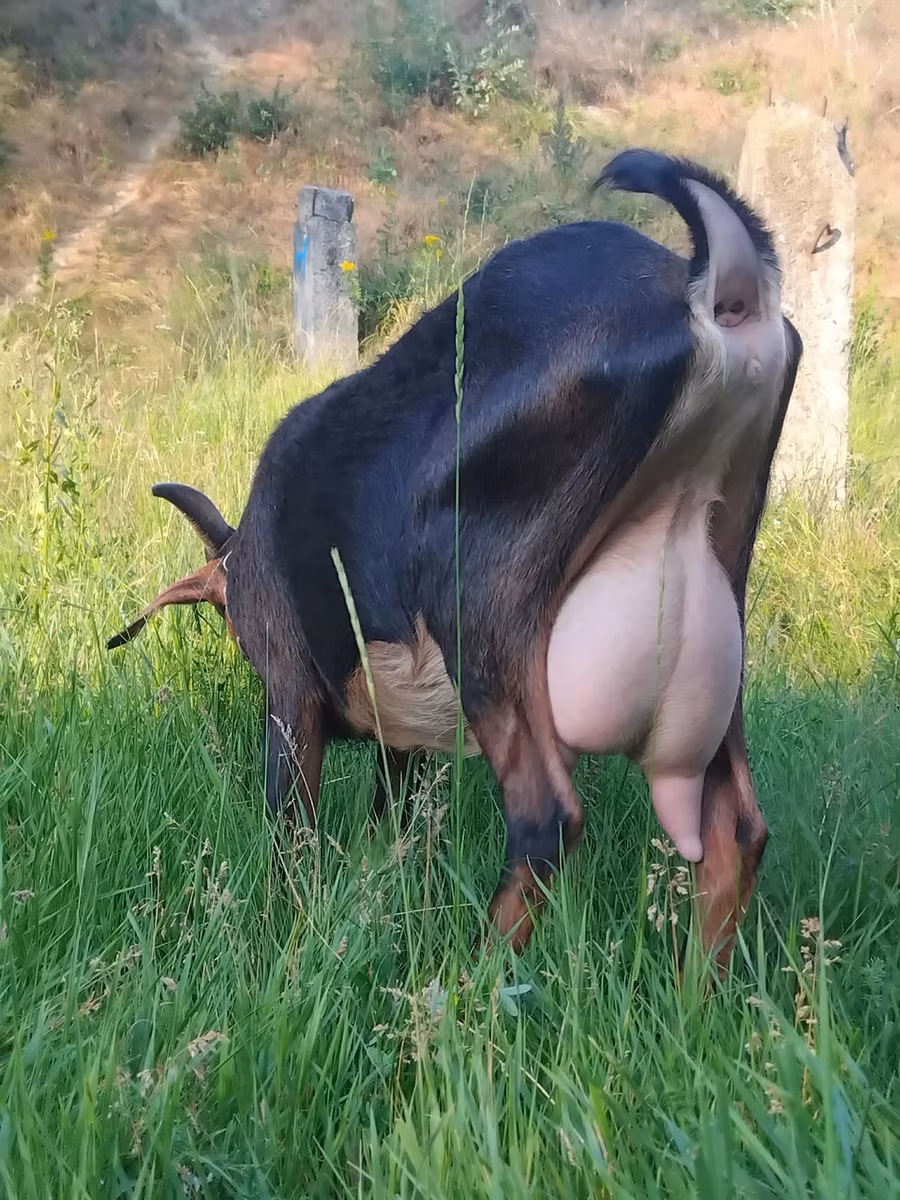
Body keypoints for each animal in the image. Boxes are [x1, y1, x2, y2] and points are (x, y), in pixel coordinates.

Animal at [108, 148, 802, 968]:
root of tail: (714, 292)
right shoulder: (401, 742)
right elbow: (390, 829)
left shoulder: (291, 691)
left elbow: (292, 835)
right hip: (716, 605)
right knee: (737, 832)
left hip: (479, 608)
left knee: (546, 820)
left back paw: (468, 981)